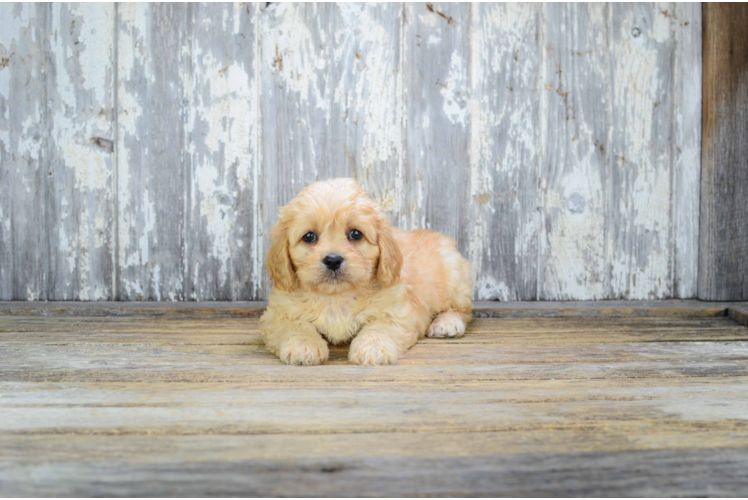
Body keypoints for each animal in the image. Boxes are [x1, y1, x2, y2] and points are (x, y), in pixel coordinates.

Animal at [260, 178, 470, 366]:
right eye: (309, 236)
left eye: (355, 234)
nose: (333, 260)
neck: (336, 296)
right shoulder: (278, 313)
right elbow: (295, 325)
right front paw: (303, 346)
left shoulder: (398, 311)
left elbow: (380, 326)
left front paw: (373, 348)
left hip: (454, 277)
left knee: (461, 310)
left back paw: (447, 324)